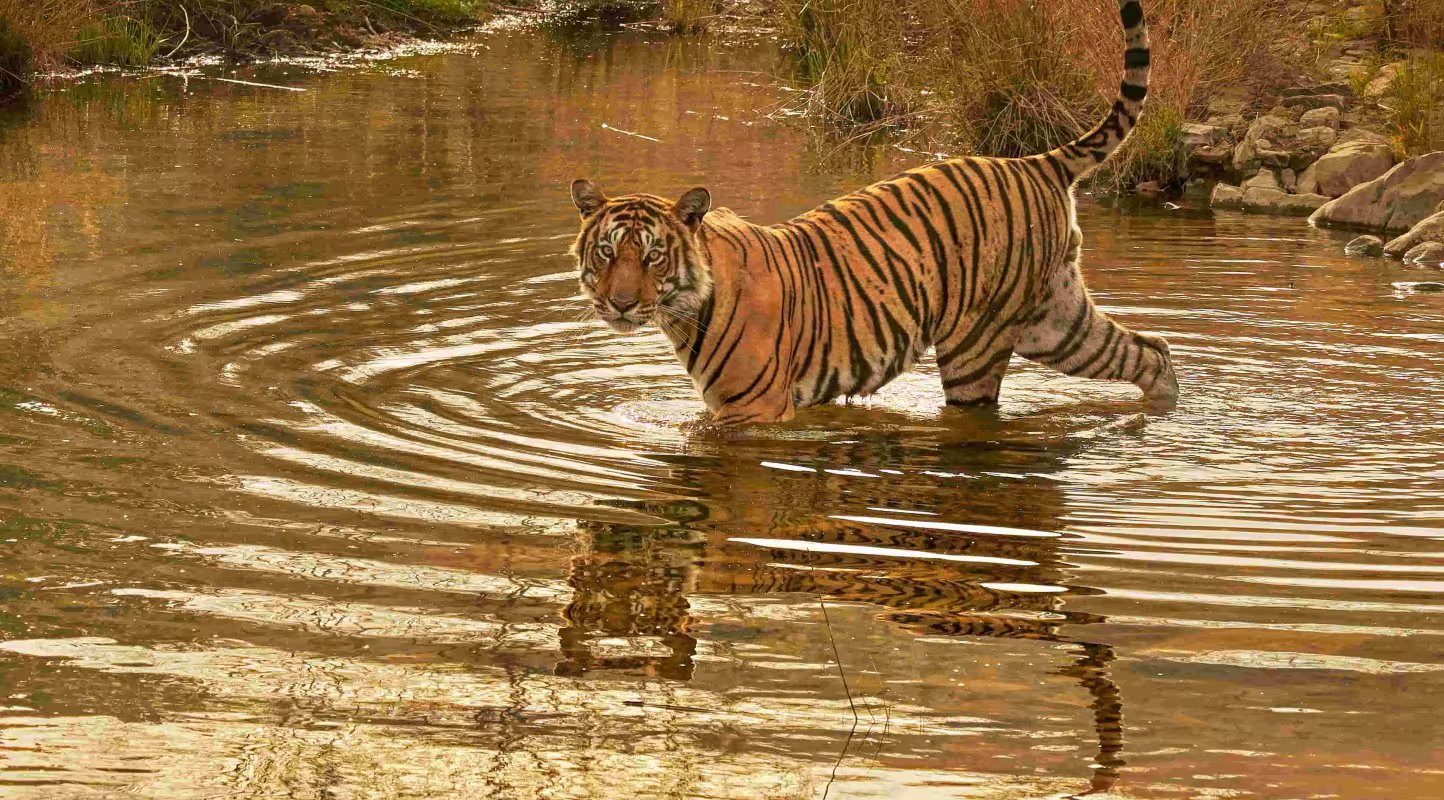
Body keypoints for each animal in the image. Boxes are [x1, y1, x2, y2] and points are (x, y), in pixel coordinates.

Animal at [567, 0, 1177, 426]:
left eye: (653, 257)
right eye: (607, 252)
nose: (621, 304)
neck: (684, 308)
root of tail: (1035, 161)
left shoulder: (753, 412)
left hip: (978, 344)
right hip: (1055, 323)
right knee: (1150, 350)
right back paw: (1164, 413)